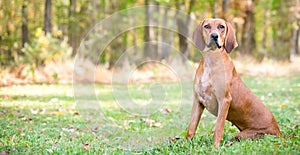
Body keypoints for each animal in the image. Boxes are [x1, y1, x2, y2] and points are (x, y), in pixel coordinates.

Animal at [186, 17, 282, 147]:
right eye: (207, 26)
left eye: (221, 27)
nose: (214, 36)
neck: (211, 59)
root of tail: (279, 131)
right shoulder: (198, 100)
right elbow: (191, 127)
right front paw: (184, 144)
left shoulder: (224, 100)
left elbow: (218, 127)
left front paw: (215, 147)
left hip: (246, 134)